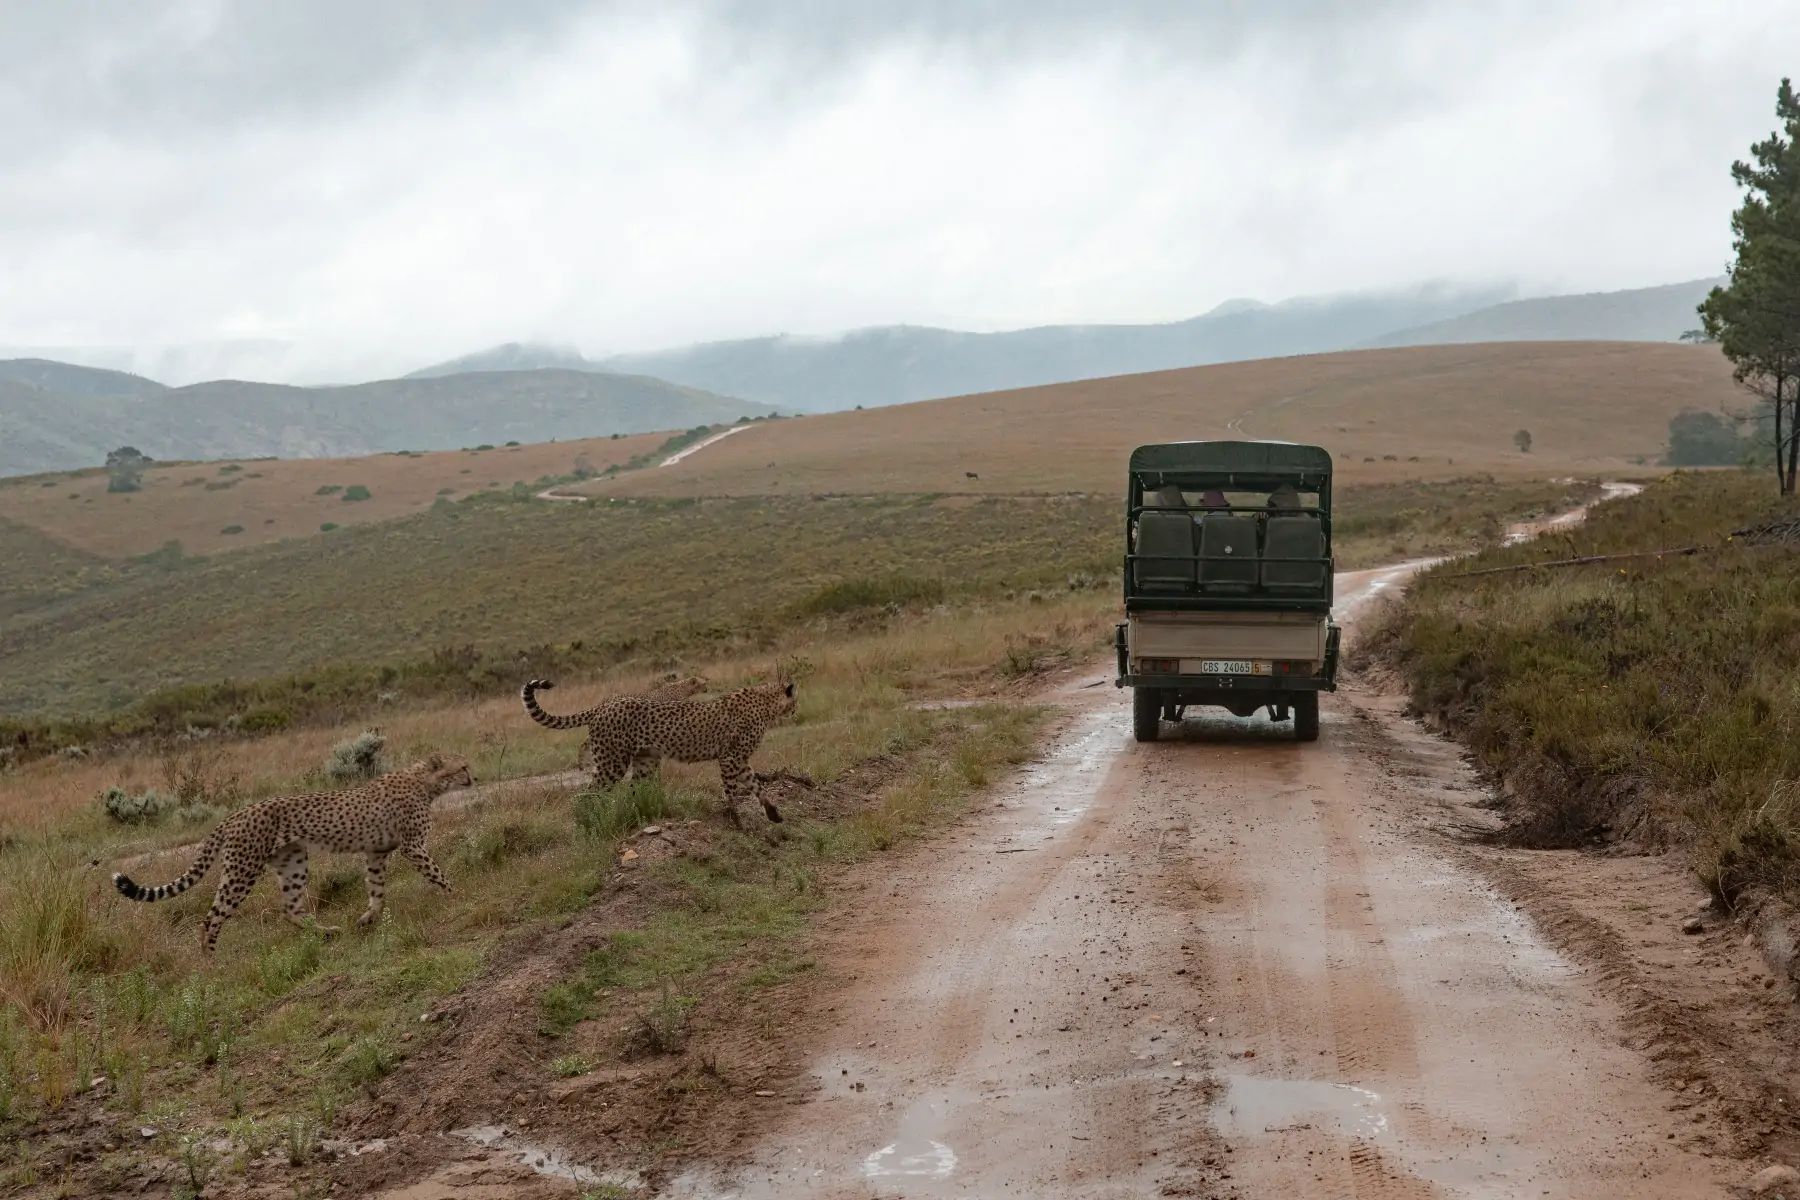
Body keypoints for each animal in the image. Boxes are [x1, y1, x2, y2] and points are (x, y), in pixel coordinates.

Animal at [111, 752, 471, 957]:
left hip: (293, 861)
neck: (426, 782)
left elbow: (377, 892)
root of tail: (235, 814)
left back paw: (326, 933)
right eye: (462, 767)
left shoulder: (375, 853)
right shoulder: (412, 846)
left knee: (289, 909)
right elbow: (437, 873)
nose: (473, 778)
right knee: (211, 919)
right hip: (242, 870)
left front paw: (367, 919)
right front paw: (458, 897)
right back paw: (211, 966)